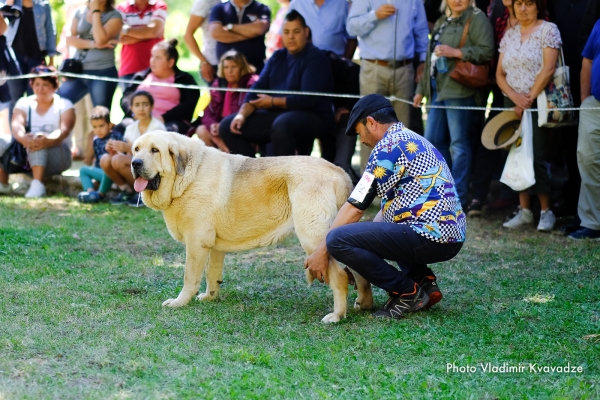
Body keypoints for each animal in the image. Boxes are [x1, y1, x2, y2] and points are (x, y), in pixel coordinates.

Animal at [132, 131, 364, 322]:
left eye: (155, 150)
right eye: (136, 149)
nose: (135, 163)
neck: (188, 177)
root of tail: (340, 173)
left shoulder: (196, 243)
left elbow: (190, 277)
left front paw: (179, 302)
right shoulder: (213, 246)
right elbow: (212, 274)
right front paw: (210, 297)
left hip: (313, 239)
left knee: (341, 277)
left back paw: (336, 316)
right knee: (358, 274)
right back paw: (364, 304)